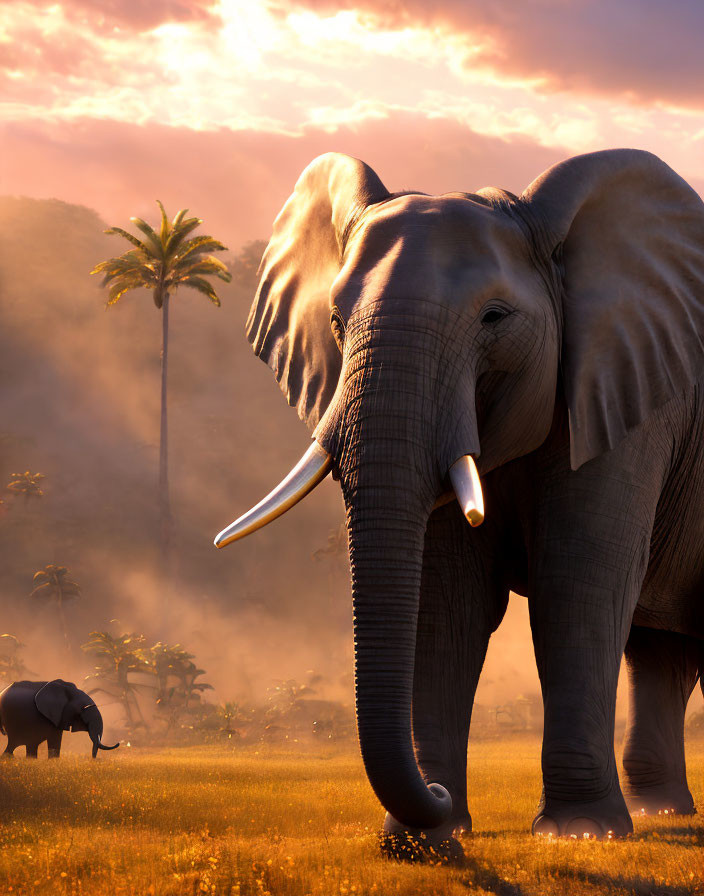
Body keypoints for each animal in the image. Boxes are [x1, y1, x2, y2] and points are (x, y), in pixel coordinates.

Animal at [214, 150, 704, 852]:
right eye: (335, 320)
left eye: (494, 318)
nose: (436, 796)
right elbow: (449, 602)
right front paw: (426, 839)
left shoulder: (627, 392)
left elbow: (575, 586)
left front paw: (579, 833)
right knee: (660, 651)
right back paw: (666, 814)